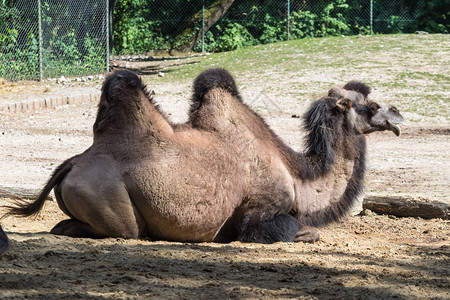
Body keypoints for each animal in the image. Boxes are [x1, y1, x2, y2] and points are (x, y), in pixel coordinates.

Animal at [5, 69, 402, 244]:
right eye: (368, 106)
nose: (396, 116)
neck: (298, 176)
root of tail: (73, 163)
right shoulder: (260, 213)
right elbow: (300, 231)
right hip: (110, 202)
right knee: (119, 230)